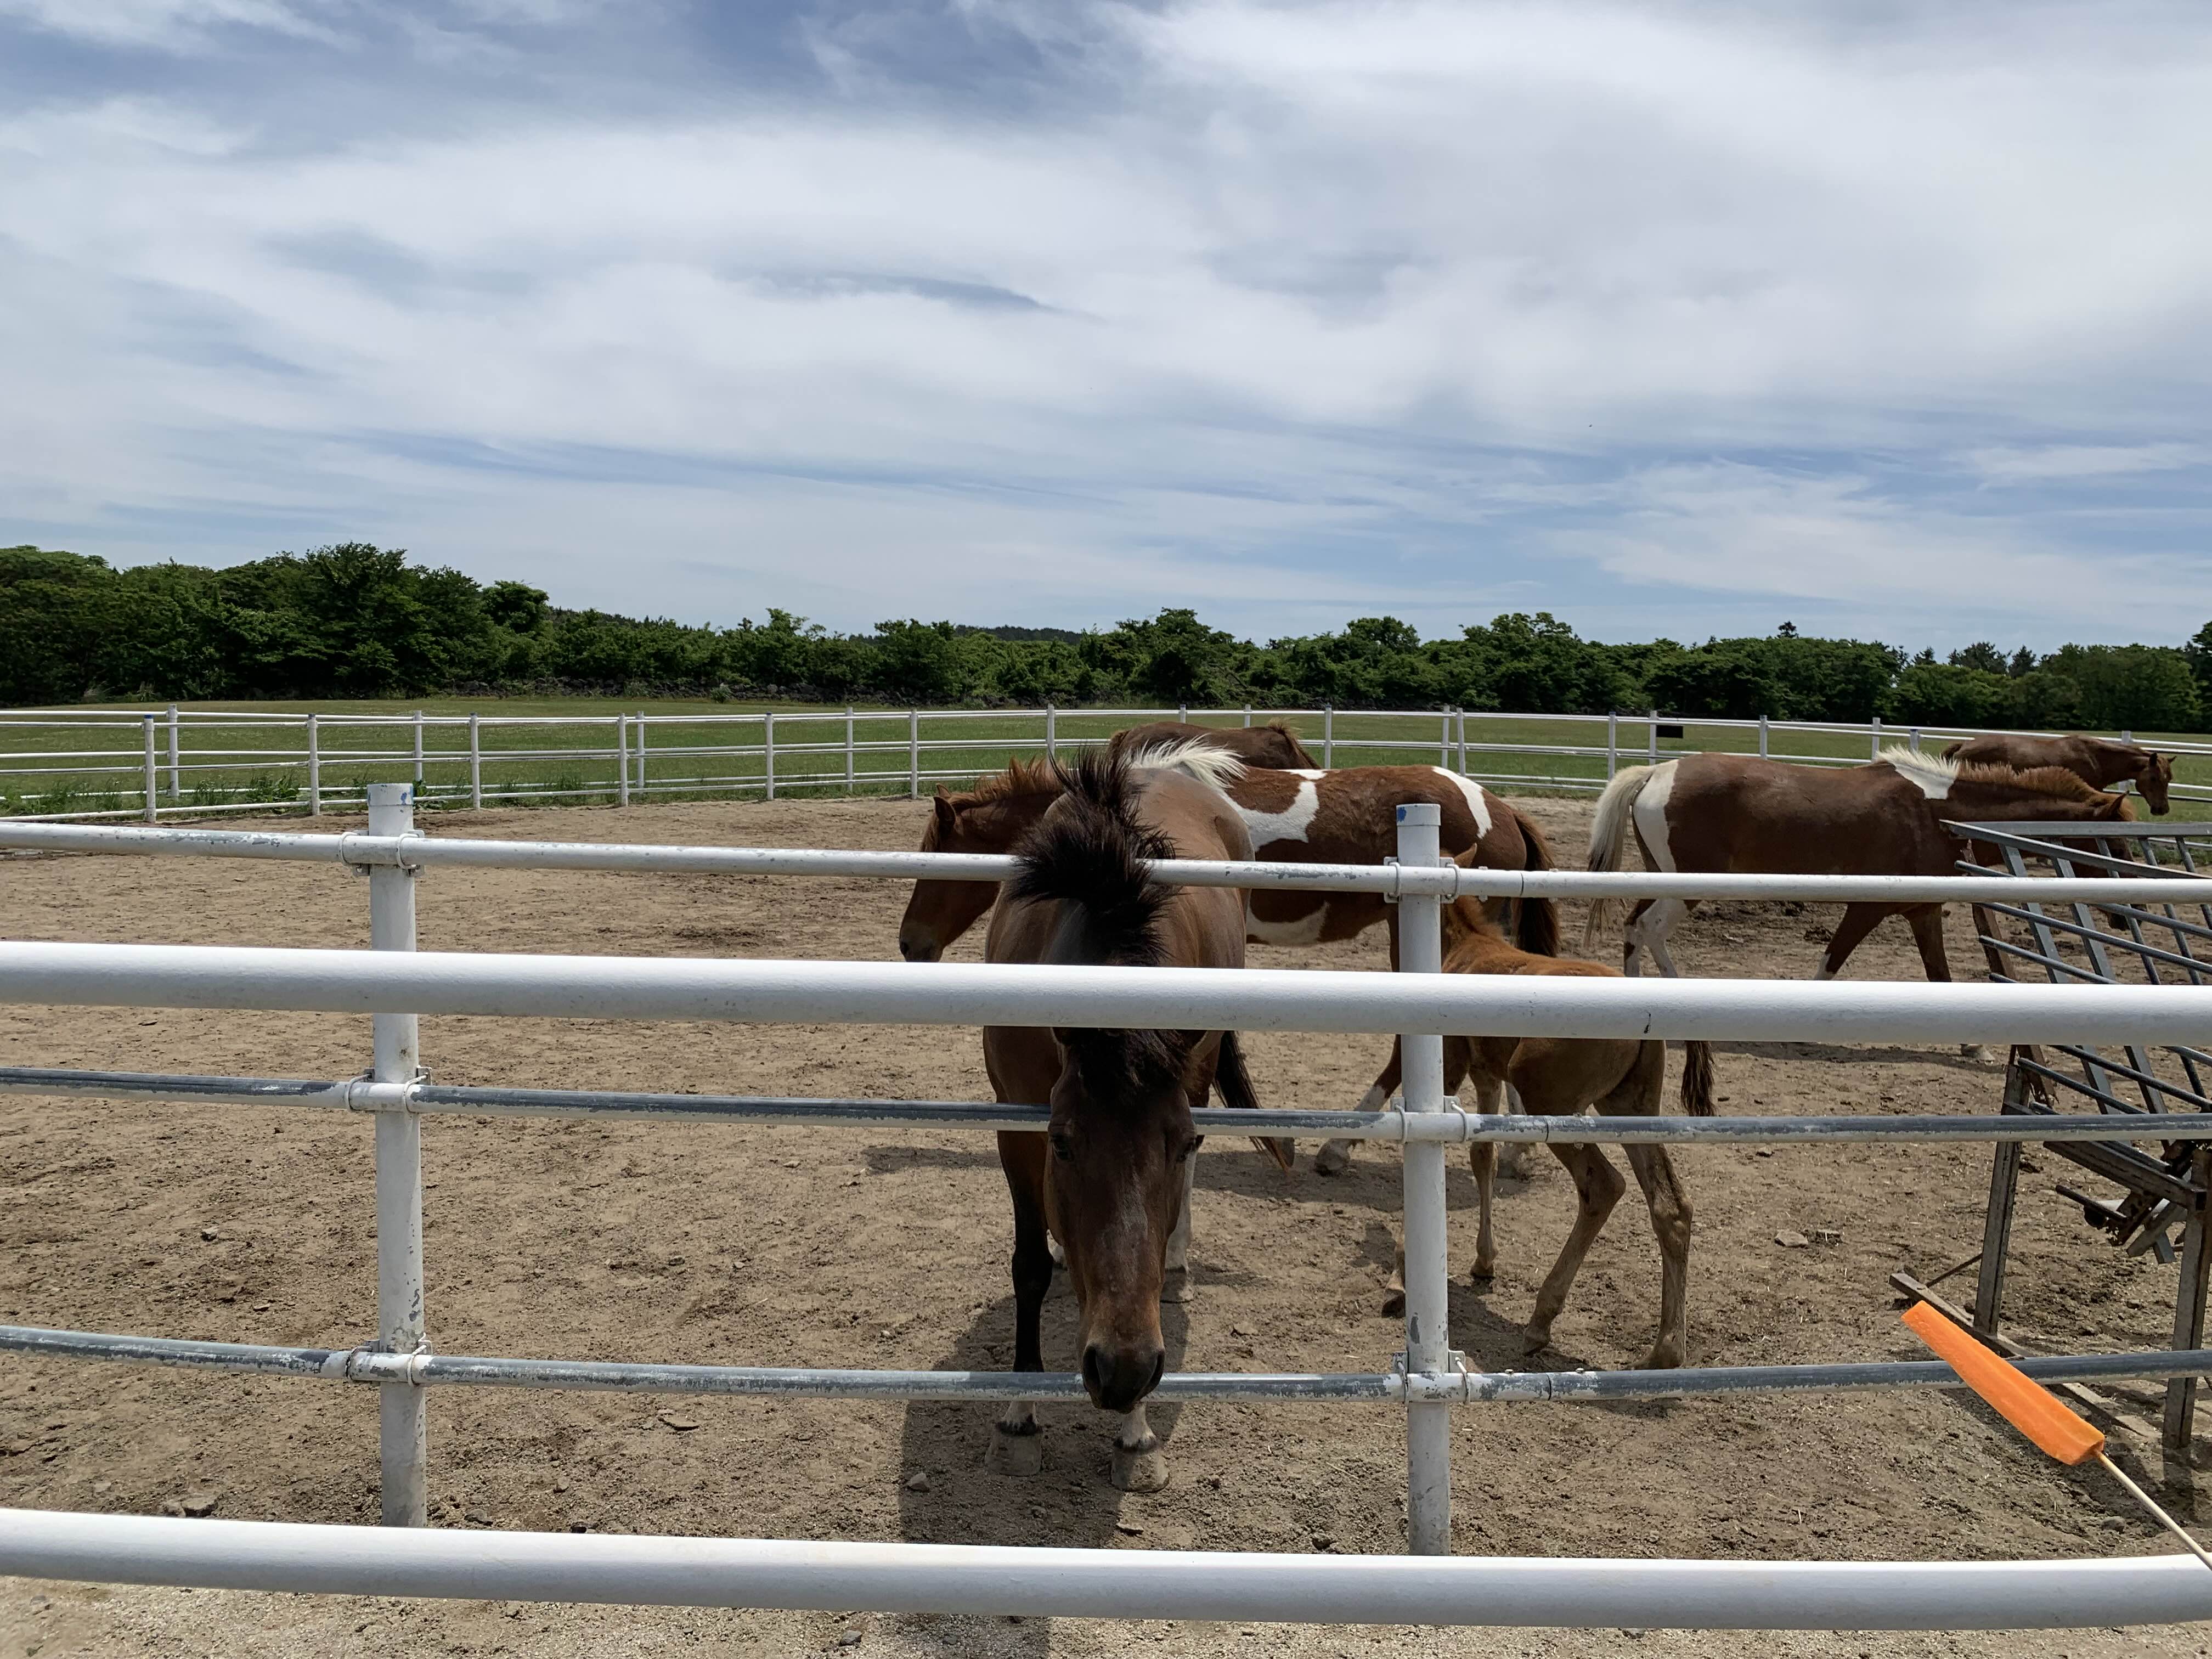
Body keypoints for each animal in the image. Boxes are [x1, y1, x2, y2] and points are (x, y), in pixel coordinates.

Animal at [982, 744, 1286, 1492]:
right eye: (1063, 1144)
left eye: (1180, 1145)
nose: (1123, 1371)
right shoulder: (1016, 1126)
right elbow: (1028, 1265)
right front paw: (1019, 1416)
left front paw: (1136, 1435)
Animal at [1370, 884, 1712, 1367]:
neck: (1463, 948)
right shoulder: (1487, 1075)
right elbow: (1483, 1157)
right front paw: (1484, 1262)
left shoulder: (1450, 1069)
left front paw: (1401, 1279)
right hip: (1629, 1107)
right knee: (1670, 1204)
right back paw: (1664, 1350)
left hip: (1552, 1105)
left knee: (1603, 1186)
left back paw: (1540, 1322)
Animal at [1584, 746, 2138, 983]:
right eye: (2115, 845)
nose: (2126, 914)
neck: (1936, 813)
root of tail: (1658, 773)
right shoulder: (1865, 908)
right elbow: (1829, 966)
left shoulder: (1924, 913)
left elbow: (1940, 974)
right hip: (1690, 887)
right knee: (1650, 930)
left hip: (1662, 880)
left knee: (1634, 928)